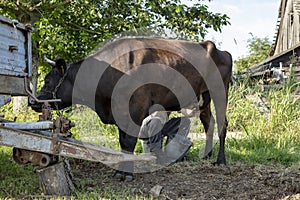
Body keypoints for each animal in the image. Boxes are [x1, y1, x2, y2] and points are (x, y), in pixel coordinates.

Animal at [30, 37, 232, 180]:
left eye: (48, 80)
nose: (33, 102)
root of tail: (217, 49)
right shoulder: (119, 113)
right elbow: (123, 143)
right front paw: (120, 171)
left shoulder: (135, 109)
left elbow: (129, 141)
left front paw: (127, 173)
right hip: (204, 98)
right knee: (208, 123)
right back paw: (207, 155)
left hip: (220, 91)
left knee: (222, 124)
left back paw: (220, 160)